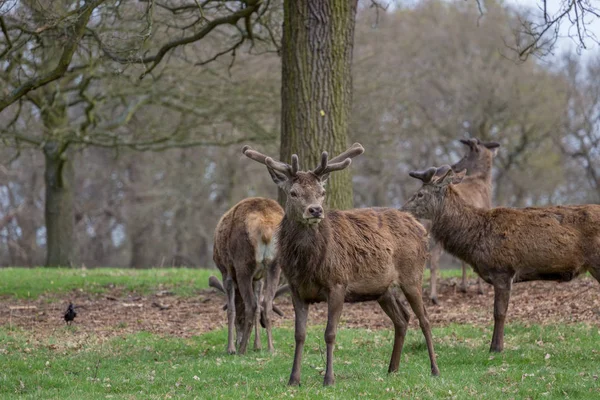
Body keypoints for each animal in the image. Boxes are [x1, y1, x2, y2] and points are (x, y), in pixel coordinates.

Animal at [212, 197, 284, 354]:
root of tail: (265, 228)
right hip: (275, 265)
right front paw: (258, 345)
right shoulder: (259, 278)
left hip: (243, 263)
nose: (237, 340)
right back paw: (271, 348)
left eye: (240, 320)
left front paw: (230, 348)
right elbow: (258, 309)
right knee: (267, 303)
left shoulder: (226, 272)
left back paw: (242, 349)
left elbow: (231, 309)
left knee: (250, 305)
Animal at [241, 143, 438, 384]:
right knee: (402, 319)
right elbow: (299, 334)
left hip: (412, 275)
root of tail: (421, 228)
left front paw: (329, 378)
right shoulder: (297, 289)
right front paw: (293, 379)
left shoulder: (338, 283)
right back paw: (392, 369)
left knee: (425, 319)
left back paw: (434, 369)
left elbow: (330, 333)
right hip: (382, 289)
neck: (308, 265)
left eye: (322, 193)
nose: (315, 210)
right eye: (293, 193)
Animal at [404, 165, 600, 350]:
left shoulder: (503, 270)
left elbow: (499, 312)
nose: (402, 210)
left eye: (420, 194)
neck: (475, 237)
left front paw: (496, 348)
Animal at [426, 138, 502, 304]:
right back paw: (433, 297)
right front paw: (479, 289)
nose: (454, 165)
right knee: (434, 259)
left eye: (466, 155)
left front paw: (464, 286)